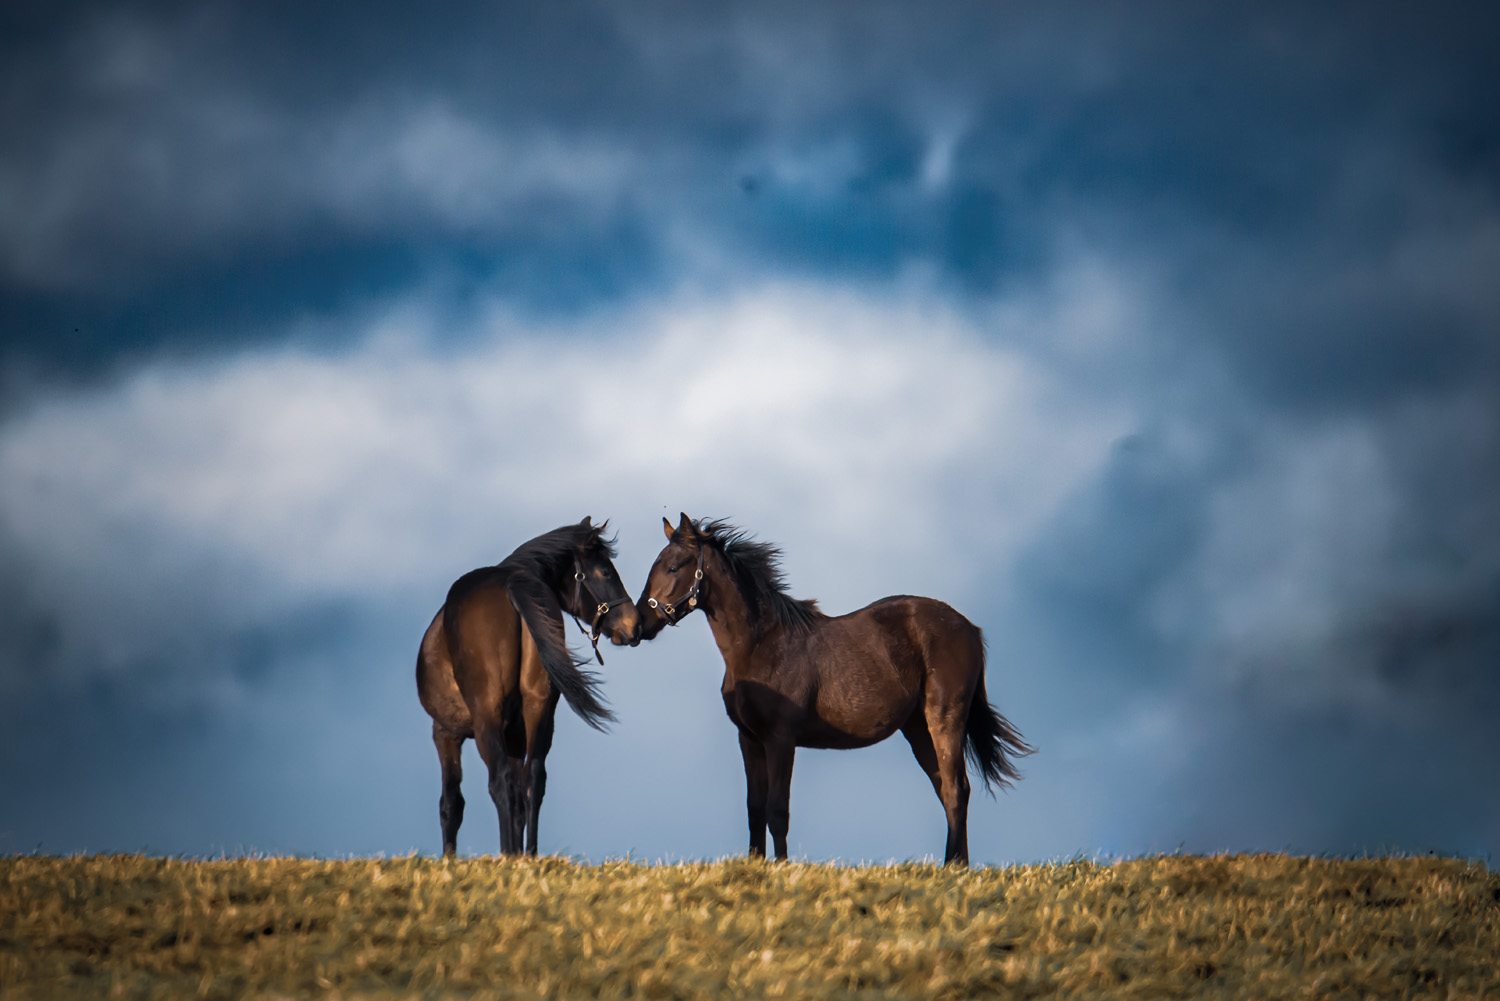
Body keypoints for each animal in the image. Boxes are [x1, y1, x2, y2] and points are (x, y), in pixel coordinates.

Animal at [417, 522, 639, 858]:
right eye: (605, 572)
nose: (634, 625)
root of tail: (512, 583)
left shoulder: (445, 733)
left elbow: (451, 805)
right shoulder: (516, 735)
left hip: (487, 720)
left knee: (500, 783)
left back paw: (508, 856)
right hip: (538, 710)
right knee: (533, 780)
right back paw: (529, 856)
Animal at [633, 513, 1032, 864]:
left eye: (673, 567)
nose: (639, 624)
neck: (762, 644)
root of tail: (970, 629)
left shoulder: (781, 739)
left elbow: (778, 811)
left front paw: (781, 868)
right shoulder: (749, 739)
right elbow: (755, 809)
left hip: (944, 718)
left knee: (956, 789)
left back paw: (956, 868)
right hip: (917, 728)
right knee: (947, 791)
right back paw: (953, 867)